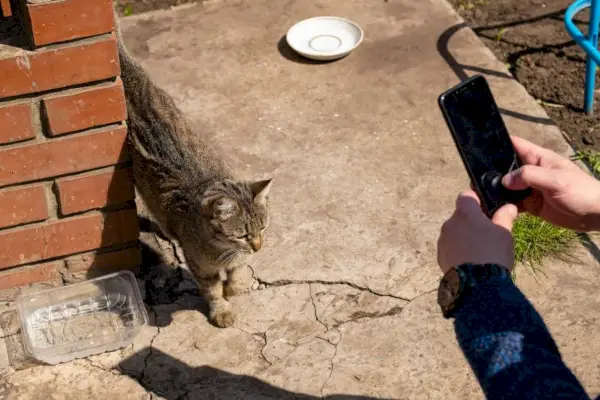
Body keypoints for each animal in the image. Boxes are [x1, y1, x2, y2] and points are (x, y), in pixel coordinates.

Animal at [113, 18, 272, 328]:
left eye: (262, 228)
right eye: (242, 234)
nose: (259, 247)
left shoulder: (238, 260)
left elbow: (237, 275)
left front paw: (234, 288)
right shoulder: (201, 266)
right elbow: (212, 290)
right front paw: (221, 308)